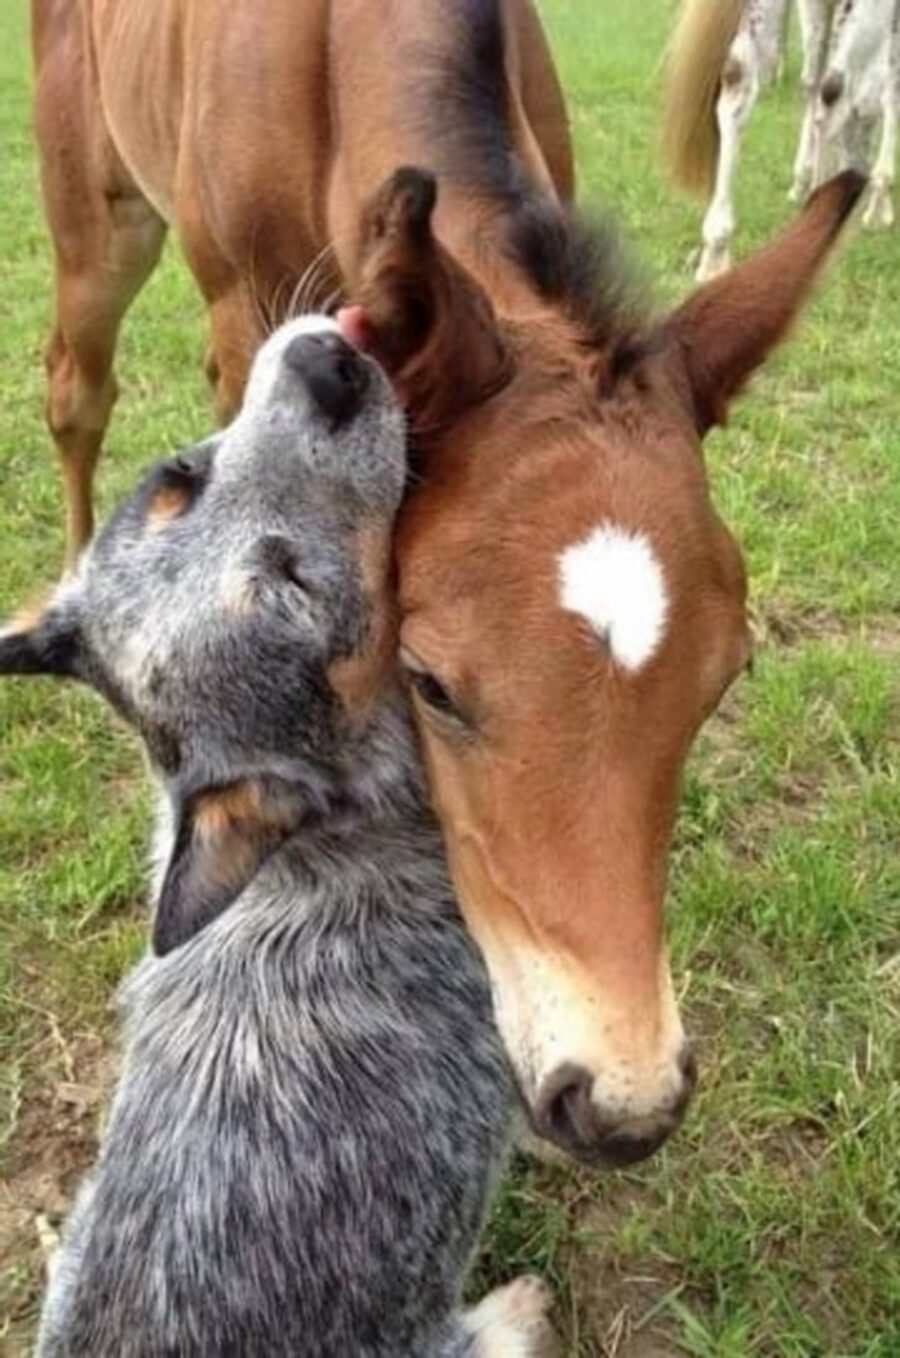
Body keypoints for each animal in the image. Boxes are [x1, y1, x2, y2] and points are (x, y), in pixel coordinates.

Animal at [24, 0, 863, 1167]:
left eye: (727, 676)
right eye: (429, 683)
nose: (620, 1104)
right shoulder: (247, 322)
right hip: (96, 218)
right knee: (77, 390)